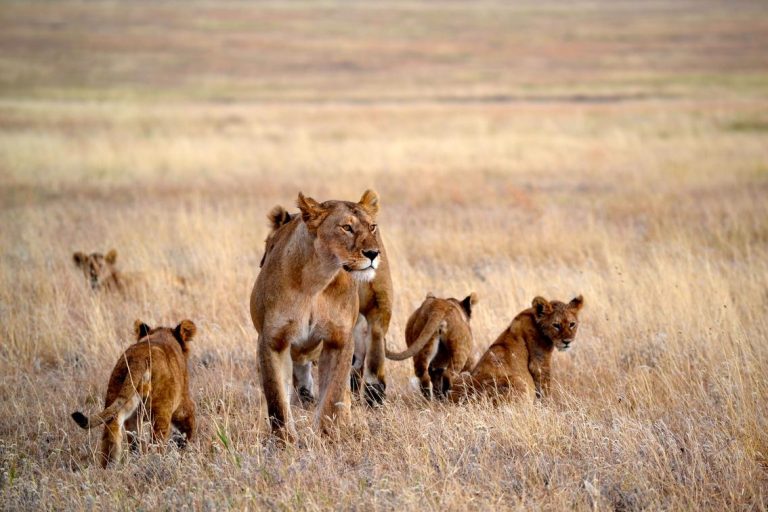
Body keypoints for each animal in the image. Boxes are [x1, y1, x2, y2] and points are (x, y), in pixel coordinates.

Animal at [71, 319, 197, 467]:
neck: (160, 335)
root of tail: (139, 358)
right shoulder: (182, 403)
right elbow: (188, 425)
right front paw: (185, 448)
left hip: (120, 397)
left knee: (117, 433)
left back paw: (110, 467)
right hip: (161, 410)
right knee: (156, 443)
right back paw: (156, 463)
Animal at [450, 295, 584, 403]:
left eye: (572, 324)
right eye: (556, 325)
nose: (567, 342)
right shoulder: (539, 363)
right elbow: (545, 389)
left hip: (462, 375)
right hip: (517, 381)